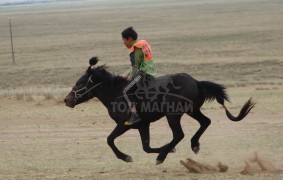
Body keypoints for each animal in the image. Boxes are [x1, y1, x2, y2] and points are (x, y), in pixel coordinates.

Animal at [64, 57, 255, 165]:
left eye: (80, 83)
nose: (67, 100)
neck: (116, 93)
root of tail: (196, 82)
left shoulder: (124, 124)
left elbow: (109, 140)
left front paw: (126, 157)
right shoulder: (142, 125)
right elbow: (146, 147)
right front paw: (169, 150)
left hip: (173, 115)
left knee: (179, 134)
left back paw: (162, 157)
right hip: (192, 110)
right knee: (205, 122)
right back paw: (193, 145)